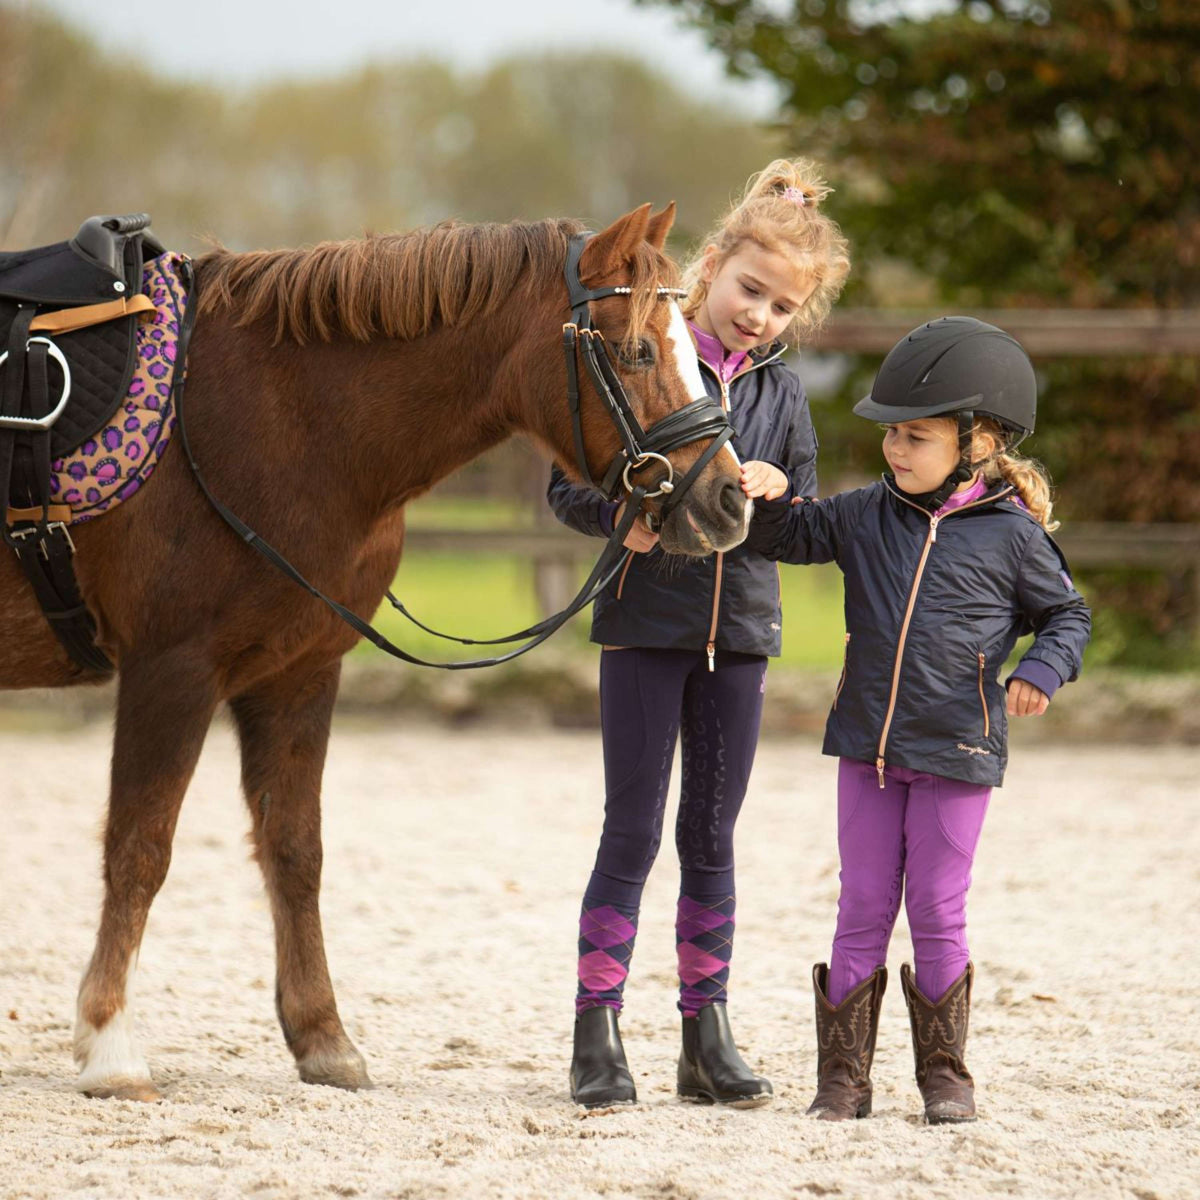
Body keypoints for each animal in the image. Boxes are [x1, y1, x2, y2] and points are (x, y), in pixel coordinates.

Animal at [0, 203, 751, 1100]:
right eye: (637, 349)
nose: (731, 499)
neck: (266, 417)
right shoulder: (170, 671)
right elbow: (140, 848)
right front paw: (110, 1046)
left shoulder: (298, 675)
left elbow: (297, 851)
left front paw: (323, 1038)